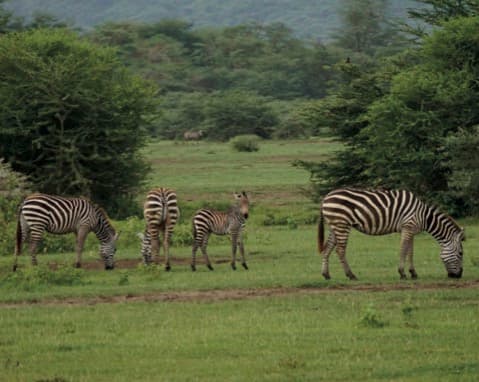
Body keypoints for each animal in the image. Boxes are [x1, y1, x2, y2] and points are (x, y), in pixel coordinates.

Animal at [318, 189, 464, 280]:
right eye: (461, 253)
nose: (459, 276)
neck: (423, 216)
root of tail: (326, 197)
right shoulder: (407, 227)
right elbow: (403, 250)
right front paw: (402, 273)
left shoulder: (411, 230)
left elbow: (410, 252)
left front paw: (413, 273)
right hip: (341, 224)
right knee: (340, 250)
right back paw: (351, 275)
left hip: (334, 225)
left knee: (327, 248)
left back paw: (326, 275)